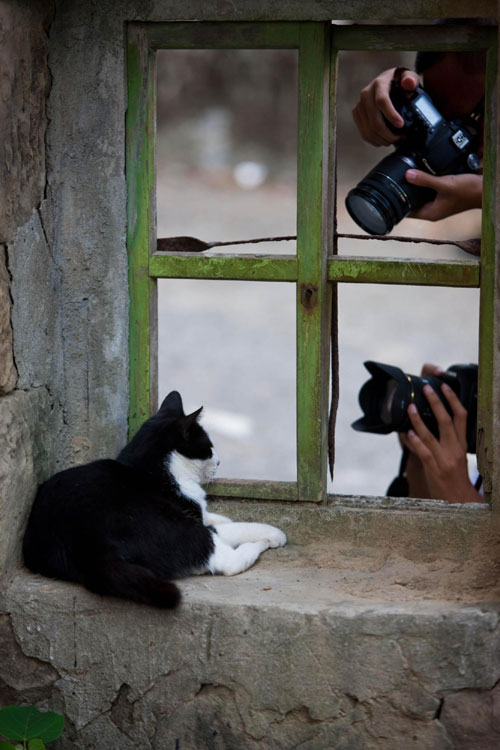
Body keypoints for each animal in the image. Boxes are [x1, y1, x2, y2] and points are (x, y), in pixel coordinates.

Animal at [22, 394, 286, 612]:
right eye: (209, 447)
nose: (220, 461)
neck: (151, 470)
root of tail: (88, 545)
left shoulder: (195, 511)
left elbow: (218, 517)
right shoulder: (190, 517)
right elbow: (233, 527)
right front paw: (272, 533)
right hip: (175, 528)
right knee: (225, 561)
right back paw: (260, 544)